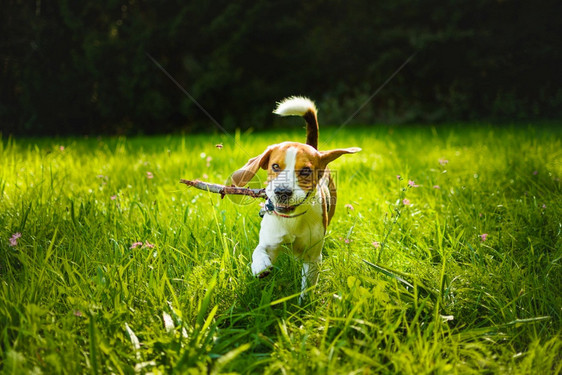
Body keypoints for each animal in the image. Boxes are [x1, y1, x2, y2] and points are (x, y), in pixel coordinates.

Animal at [231, 97, 358, 302]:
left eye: (305, 171)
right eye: (275, 166)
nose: (282, 191)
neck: (292, 219)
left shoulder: (313, 257)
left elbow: (307, 288)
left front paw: (304, 305)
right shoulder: (270, 241)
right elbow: (259, 250)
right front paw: (259, 265)